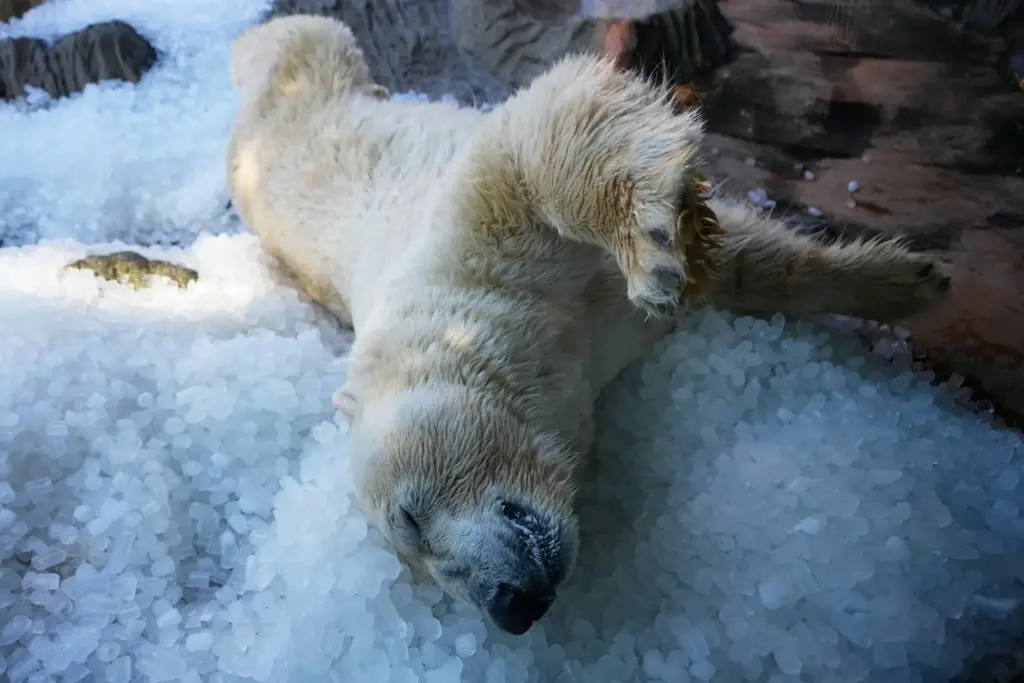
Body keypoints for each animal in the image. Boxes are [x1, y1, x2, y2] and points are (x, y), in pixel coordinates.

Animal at [224, 14, 951, 636]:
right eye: (432, 575)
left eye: (412, 516)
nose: (509, 607)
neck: (554, 339)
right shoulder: (599, 336)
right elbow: (743, 268)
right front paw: (903, 280)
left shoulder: (465, 230)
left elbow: (546, 138)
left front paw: (654, 245)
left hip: (309, 94)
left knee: (303, 41)